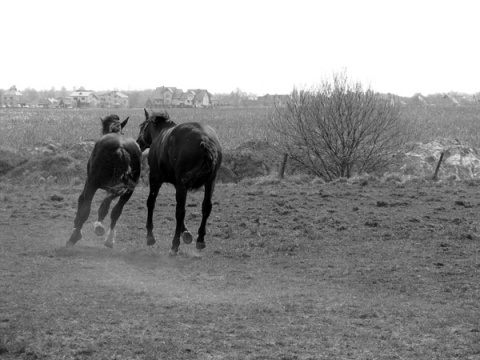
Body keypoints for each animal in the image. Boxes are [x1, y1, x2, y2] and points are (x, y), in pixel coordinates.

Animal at [67, 115, 142, 248]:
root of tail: (121, 147)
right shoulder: (115, 188)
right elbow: (105, 207)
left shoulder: (89, 182)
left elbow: (81, 200)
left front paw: (77, 229)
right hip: (129, 190)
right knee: (115, 211)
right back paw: (108, 238)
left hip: (93, 183)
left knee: (86, 209)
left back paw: (74, 238)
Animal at [137, 108, 223, 255]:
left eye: (142, 127)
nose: (138, 142)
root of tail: (204, 139)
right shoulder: (178, 185)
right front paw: (187, 233)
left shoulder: (155, 178)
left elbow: (151, 202)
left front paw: (150, 236)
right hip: (210, 182)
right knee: (206, 207)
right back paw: (200, 240)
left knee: (180, 212)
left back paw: (175, 245)